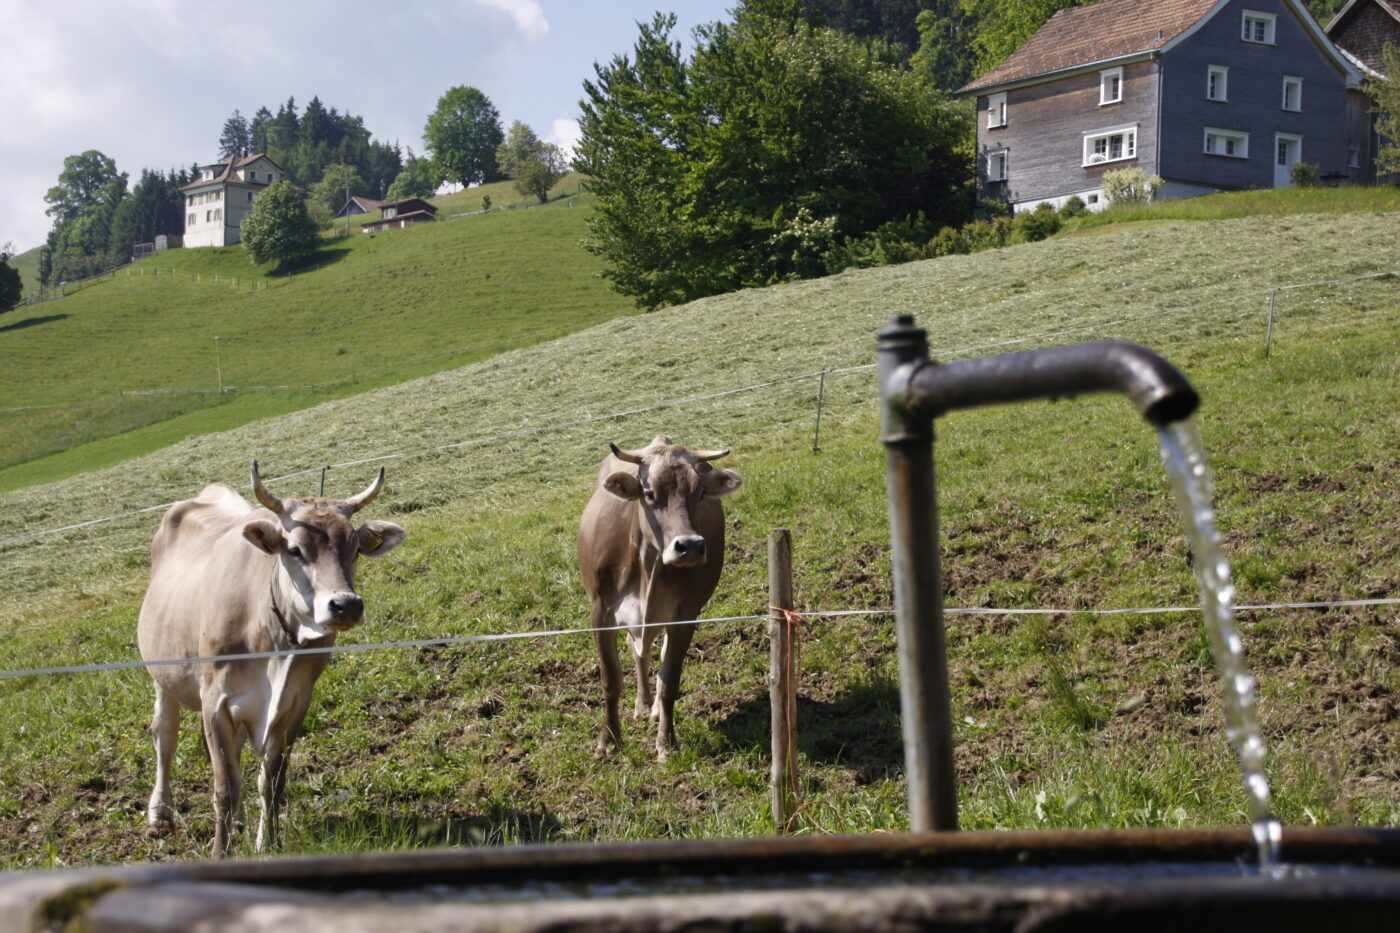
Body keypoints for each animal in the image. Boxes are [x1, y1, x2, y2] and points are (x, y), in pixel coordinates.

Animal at [135, 462, 406, 851]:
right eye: (295, 549)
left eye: (355, 549)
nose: (346, 605)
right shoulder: (216, 701)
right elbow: (224, 788)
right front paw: (220, 851)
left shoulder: (294, 704)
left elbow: (271, 783)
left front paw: (269, 844)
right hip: (163, 673)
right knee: (165, 736)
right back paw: (160, 813)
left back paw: (239, 823)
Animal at [576, 431, 744, 762]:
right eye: (650, 493)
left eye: (700, 492)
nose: (689, 546)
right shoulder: (601, 611)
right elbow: (610, 680)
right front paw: (608, 741)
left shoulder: (685, 615)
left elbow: (669, 681)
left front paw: (666, 742)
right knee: (638, 651)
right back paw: (641, 706)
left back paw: (651, 709)